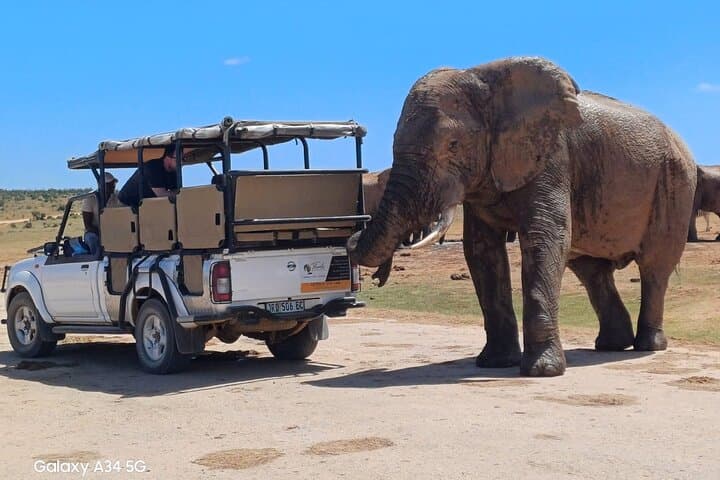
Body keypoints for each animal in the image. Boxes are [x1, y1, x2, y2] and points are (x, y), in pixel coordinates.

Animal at [348, 57, 697, 377]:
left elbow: (544, 238)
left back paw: (648, 345)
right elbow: (482, 252)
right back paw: (611, 344)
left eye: (453, 144)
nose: (351, 236)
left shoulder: (552, 155)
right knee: (591, 270)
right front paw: (495, 363)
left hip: (675, 185)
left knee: (654, 266)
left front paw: (542, 371)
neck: (486, 81)